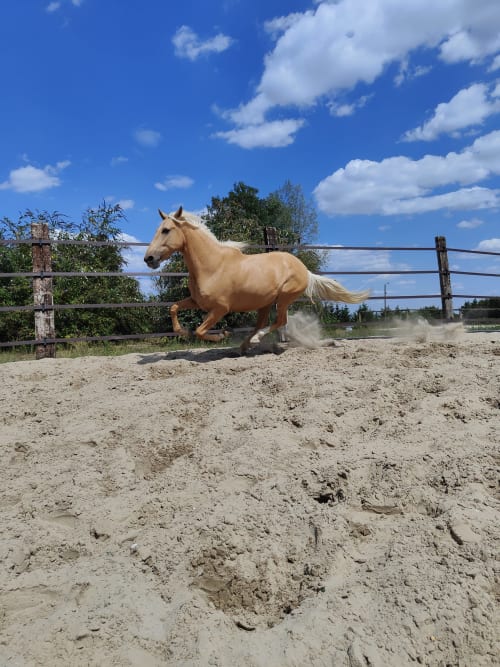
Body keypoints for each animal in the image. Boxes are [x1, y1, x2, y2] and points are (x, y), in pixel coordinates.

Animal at [144, 207, 369, 353]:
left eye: (166, 230)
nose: (149, 258)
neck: (212, 265)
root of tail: (304, 270)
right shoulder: (197, 302)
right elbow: (173, 308)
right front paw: (184, 331)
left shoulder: (220, 308)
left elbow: (200, 331)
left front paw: (222, 334)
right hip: (265, 303)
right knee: (262, 323)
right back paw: (245, 345)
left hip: (284, 299)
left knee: (280, 321)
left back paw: (255, 340)